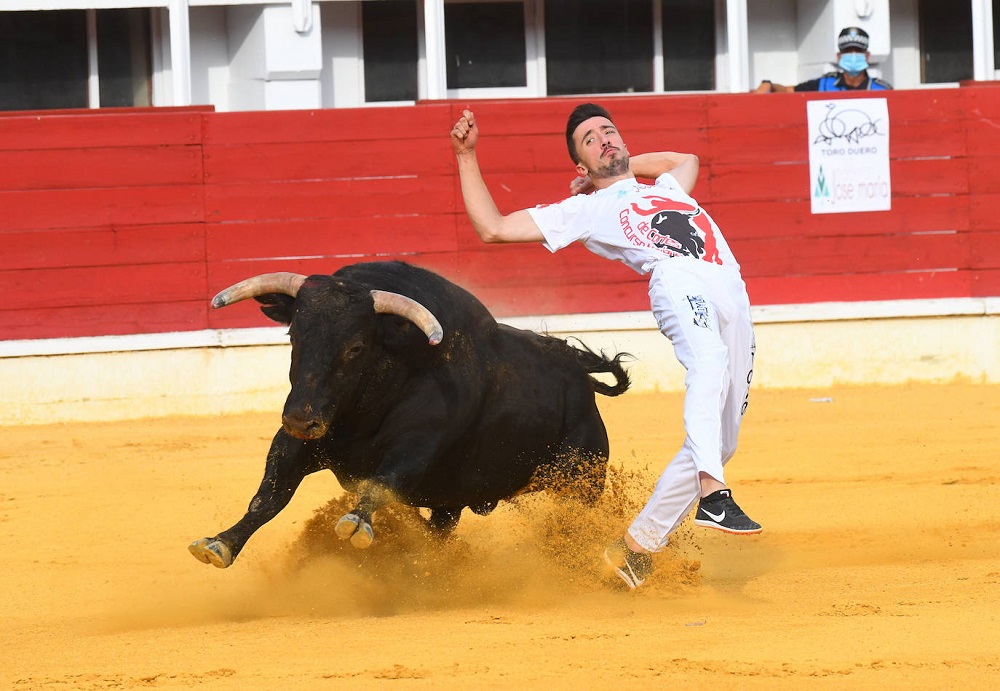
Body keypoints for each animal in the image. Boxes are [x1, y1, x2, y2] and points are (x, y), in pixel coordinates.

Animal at [188, 260, 628, 568]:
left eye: (355, 347)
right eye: (294, 335)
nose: (300, 418)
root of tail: (579, 373)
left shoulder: (418, 446)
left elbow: (383, 482)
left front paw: (356, 523)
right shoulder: (300, 440)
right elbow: (268, 496)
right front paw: (219, 543)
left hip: (581, 479)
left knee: (573, 524)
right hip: (451, 501)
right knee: (439, 531)